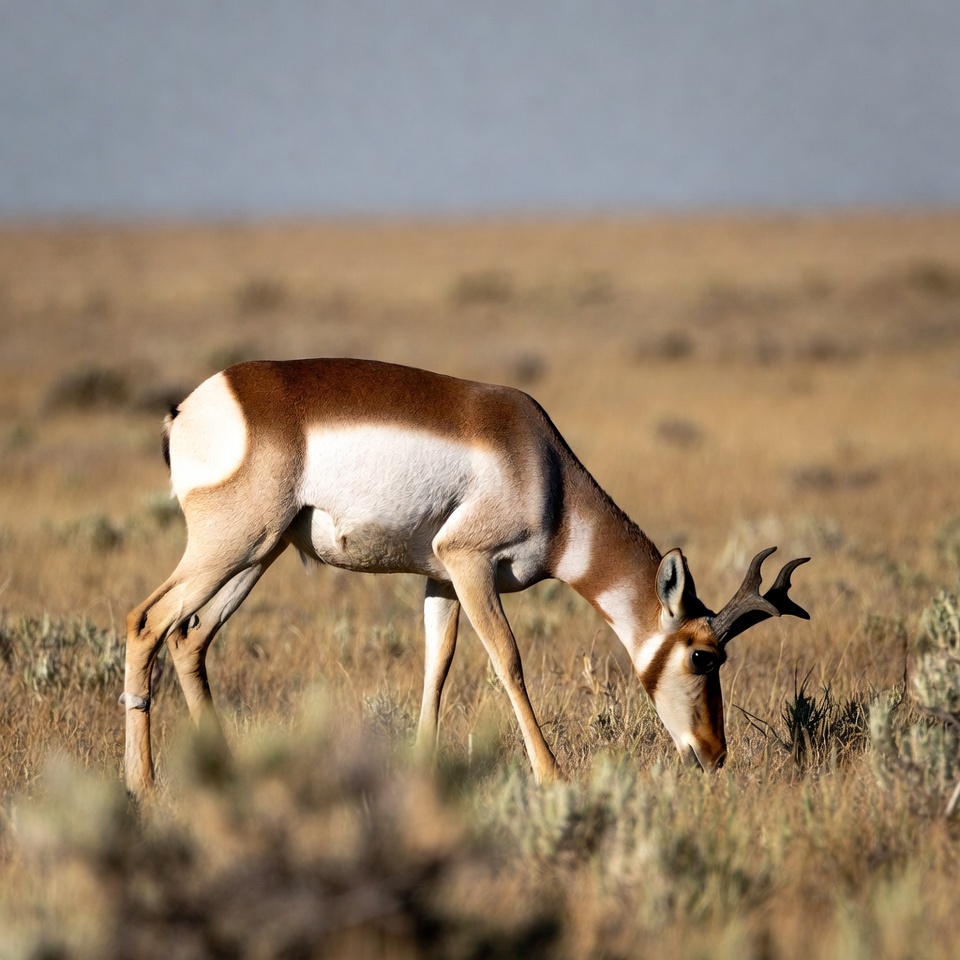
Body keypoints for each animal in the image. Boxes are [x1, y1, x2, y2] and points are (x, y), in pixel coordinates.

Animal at [122, 358, 809, 795]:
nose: (714, 755)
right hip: (230, 548)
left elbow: (438, 664)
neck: (544, 468)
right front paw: (552, 777)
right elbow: (508, 659)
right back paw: (142, 789)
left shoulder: (441, 581)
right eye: (703, 656)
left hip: (255, 557)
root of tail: (190, 409)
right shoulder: (468, 563)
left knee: (189, 637)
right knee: (146, 621)